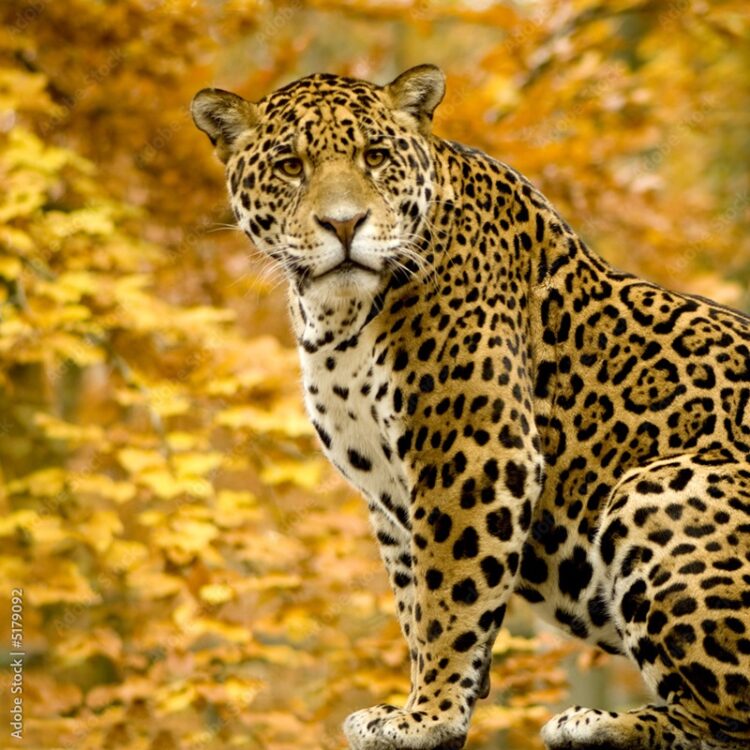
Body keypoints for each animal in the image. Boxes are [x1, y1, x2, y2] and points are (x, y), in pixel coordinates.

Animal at [191, 65, 750, 750]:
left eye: (375, 158)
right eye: (291, 166)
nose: (344, 226)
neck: (339, 317)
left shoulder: (473, 448)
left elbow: (450, 596)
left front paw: (428, 715)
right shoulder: (389, 494)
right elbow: (415, 602)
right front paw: (416, 706)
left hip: (658, 486)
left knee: (723, 718)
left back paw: (599, 723)